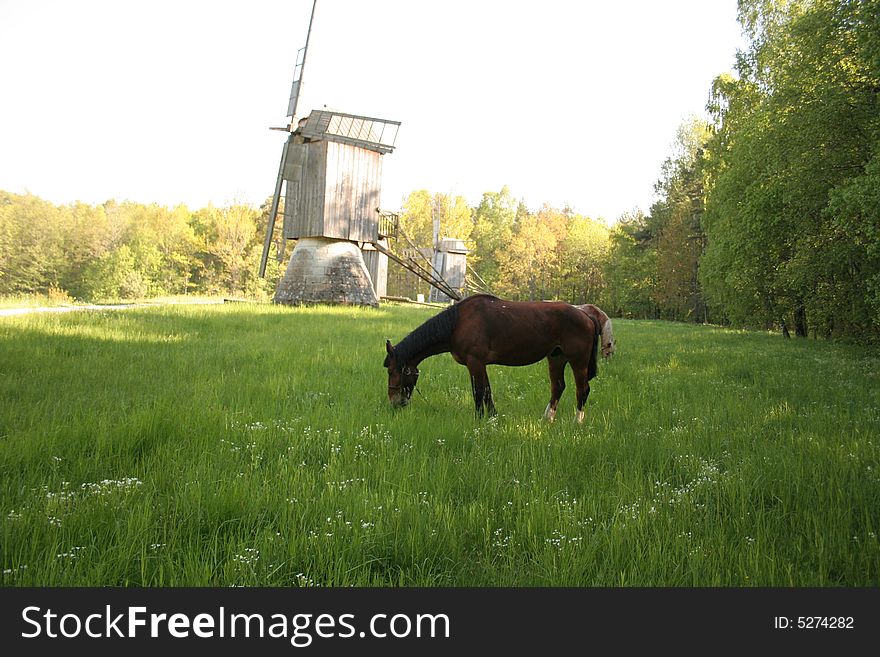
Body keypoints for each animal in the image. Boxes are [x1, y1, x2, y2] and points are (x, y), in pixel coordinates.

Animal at [382, 294, 600, 422]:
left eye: (391, 371)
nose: (394, 402)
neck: (458, 323)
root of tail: (586, 315)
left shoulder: (475, 362)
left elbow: (479, 392)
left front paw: (480, 419)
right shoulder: (477, 365)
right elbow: (486, 392)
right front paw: (492, 418)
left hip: (577, 361)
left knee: (582, 389)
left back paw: (577, 421)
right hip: (556, 358)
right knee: (558, 387)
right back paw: (547, 419)